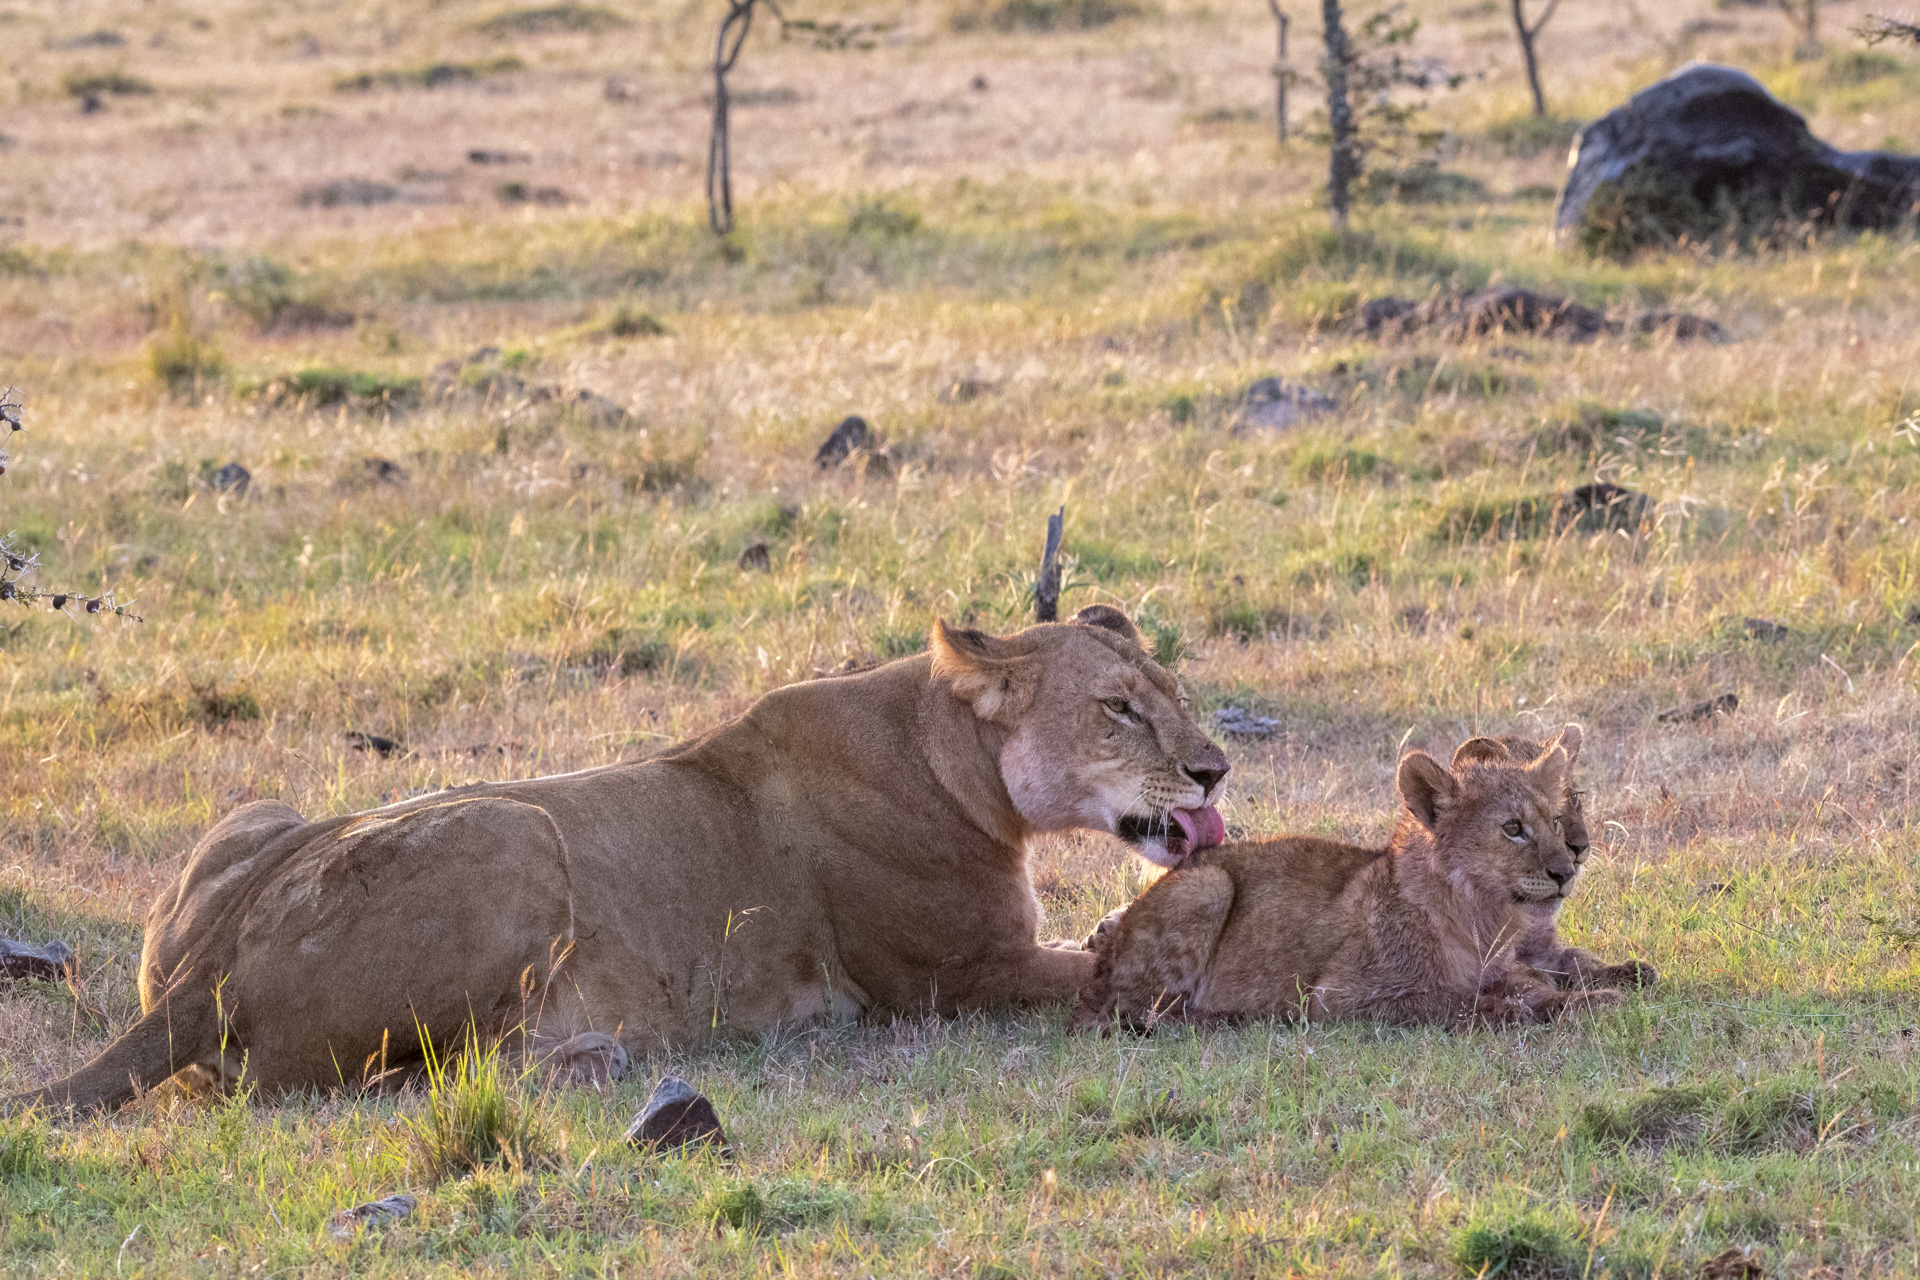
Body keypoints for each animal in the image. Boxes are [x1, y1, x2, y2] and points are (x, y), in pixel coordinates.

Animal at [9, 606, 1229, 1112]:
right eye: (1120, 708)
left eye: (1175, 692)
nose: (1216, 772)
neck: (954, 754)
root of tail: (202, 964)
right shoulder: (962, 979)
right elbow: (1104, 967)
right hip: (518, 835)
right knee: (405, 1074)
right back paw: (592, 1057)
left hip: (263, 814)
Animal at [1071, 725, 1622, 1032]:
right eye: (1512, 829)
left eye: (1555, 819)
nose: (1567, 868)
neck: (1482, 916)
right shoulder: (1341, 997)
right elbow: (1459, 1002)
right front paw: (1536, 1010)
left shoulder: (1507, 965)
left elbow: (1531, 982)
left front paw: (1595, 997)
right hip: (1207, 887)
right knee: (1131, 1011)